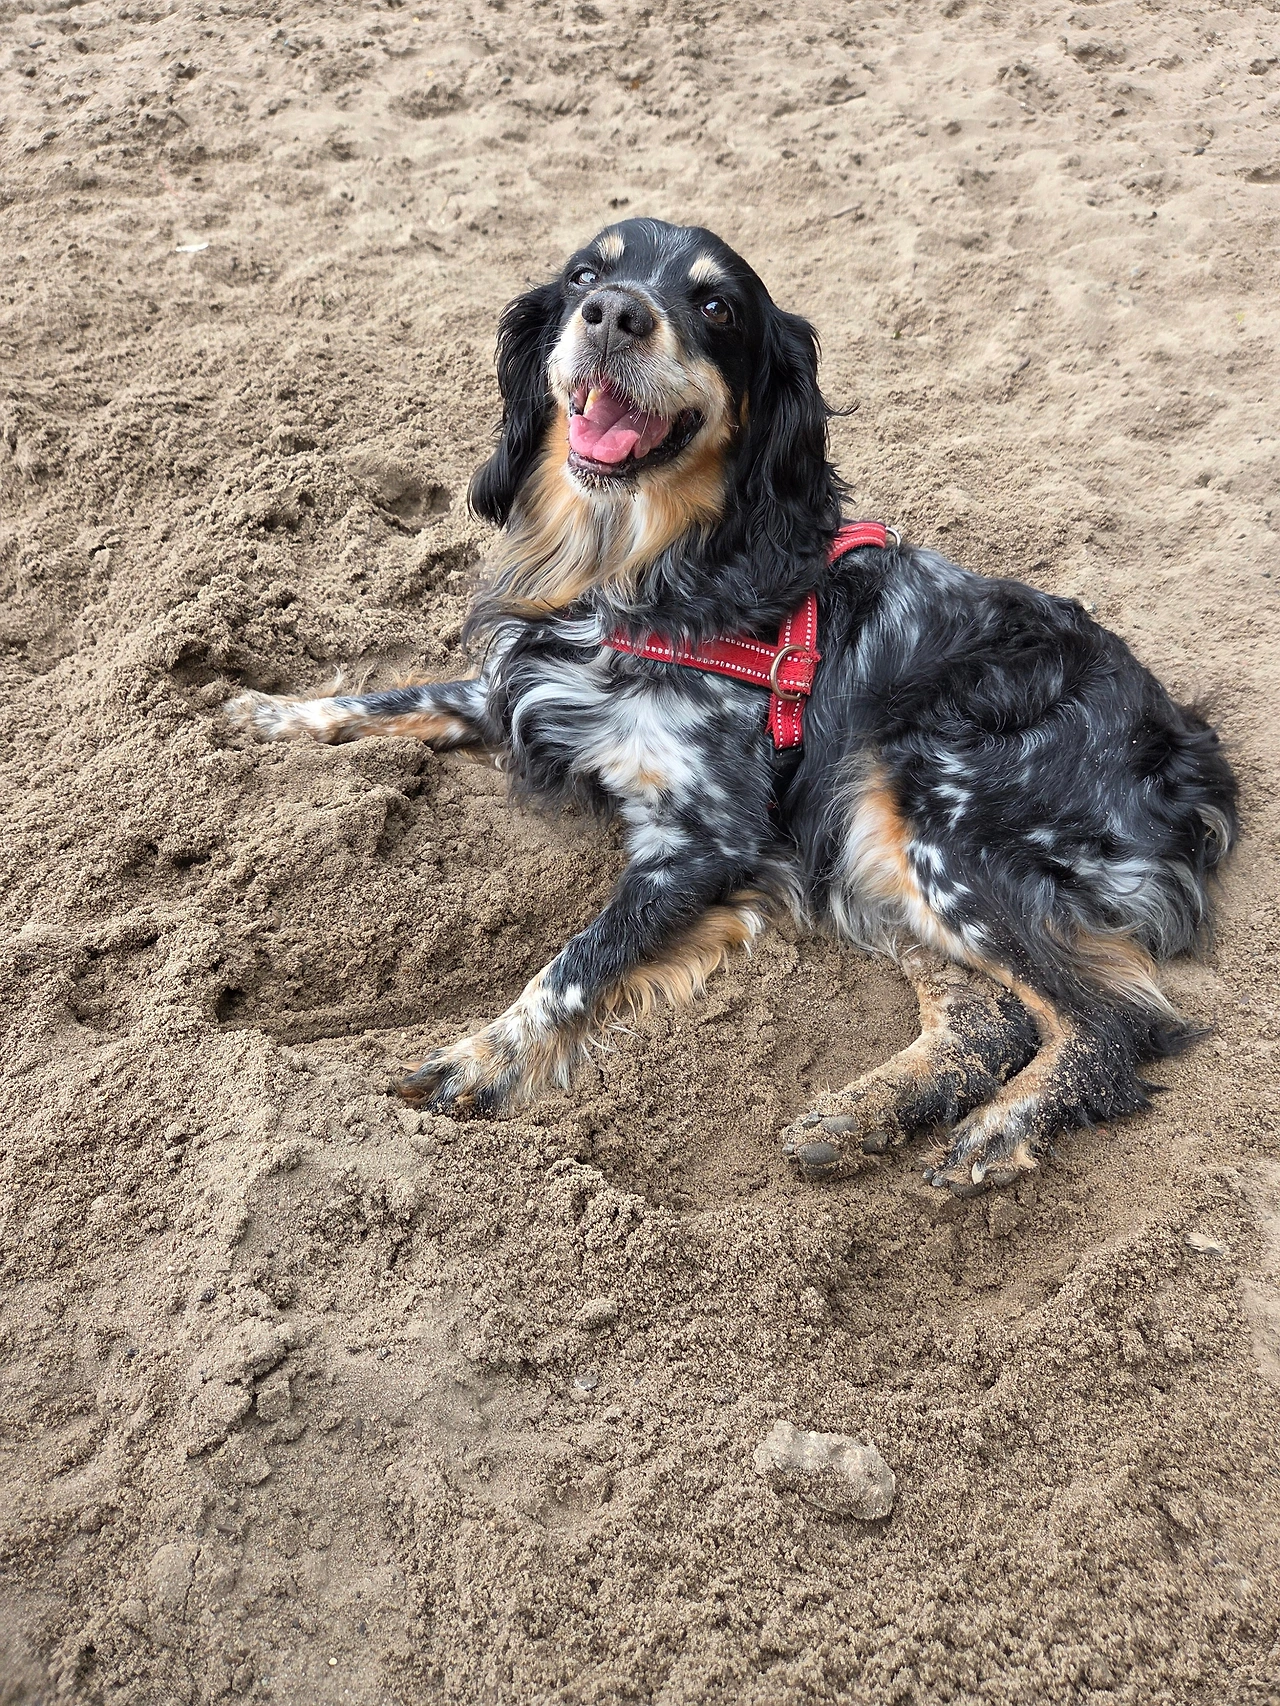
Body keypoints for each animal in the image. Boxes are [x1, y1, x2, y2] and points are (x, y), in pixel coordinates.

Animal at [227, 217, 1238, 1194]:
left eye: (715, 305)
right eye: (586, 274)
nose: (613, 313)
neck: (635, 570)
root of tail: (1195, 761)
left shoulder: (701, 844)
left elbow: (573, 963)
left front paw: (481, 1056)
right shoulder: (526, 686)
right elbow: (401, 694)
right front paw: (267, 715)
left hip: (927, 807)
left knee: (1109, 1023)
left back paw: (1001, 1130)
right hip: (858, 841)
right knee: (987, 1019)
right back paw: (861, 1119)